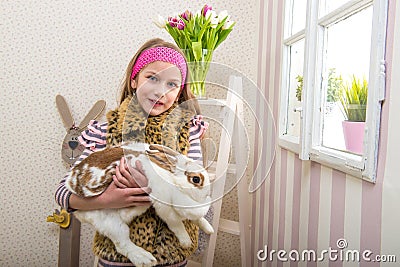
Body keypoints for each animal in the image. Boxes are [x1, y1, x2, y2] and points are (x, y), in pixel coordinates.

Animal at [66, 142, 212, 267]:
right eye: (196, 179)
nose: (207, 194)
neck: (172, 180)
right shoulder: (165, 207)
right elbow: (176, 224)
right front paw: (186, 241)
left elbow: (198, 219)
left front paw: (209, 228)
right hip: (109, 222)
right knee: (122, 243)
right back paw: (145, 259)